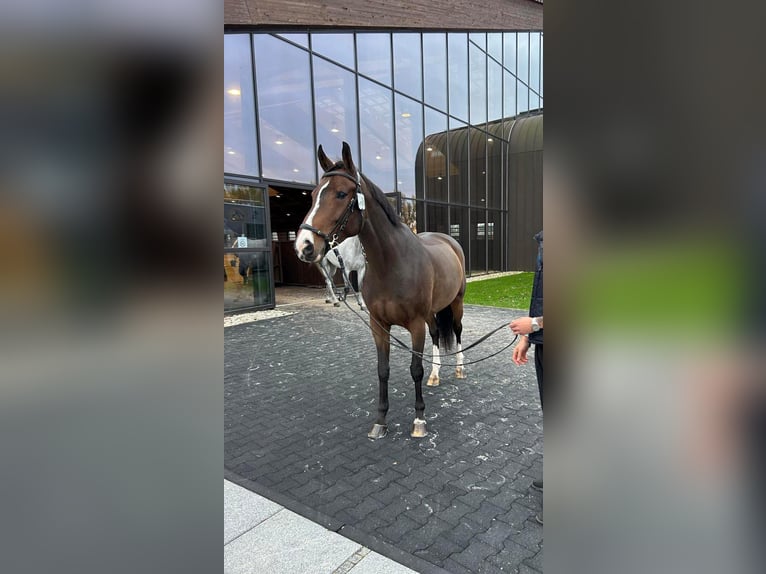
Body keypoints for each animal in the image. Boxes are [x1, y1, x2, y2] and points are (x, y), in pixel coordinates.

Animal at [294, 142, 464, 438]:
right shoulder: (379, 324)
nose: (304, 245)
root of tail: (448, 241)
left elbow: (415, 369)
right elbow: (382, 370)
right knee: (436, 333)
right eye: (314, 194)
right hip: (432, 312)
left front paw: (419, 420)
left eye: (341, 193)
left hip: (456, 302)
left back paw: (461, 369)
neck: (392, 264)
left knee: (457, 330)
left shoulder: (415, 324)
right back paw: (436, 375)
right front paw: (381, 420)